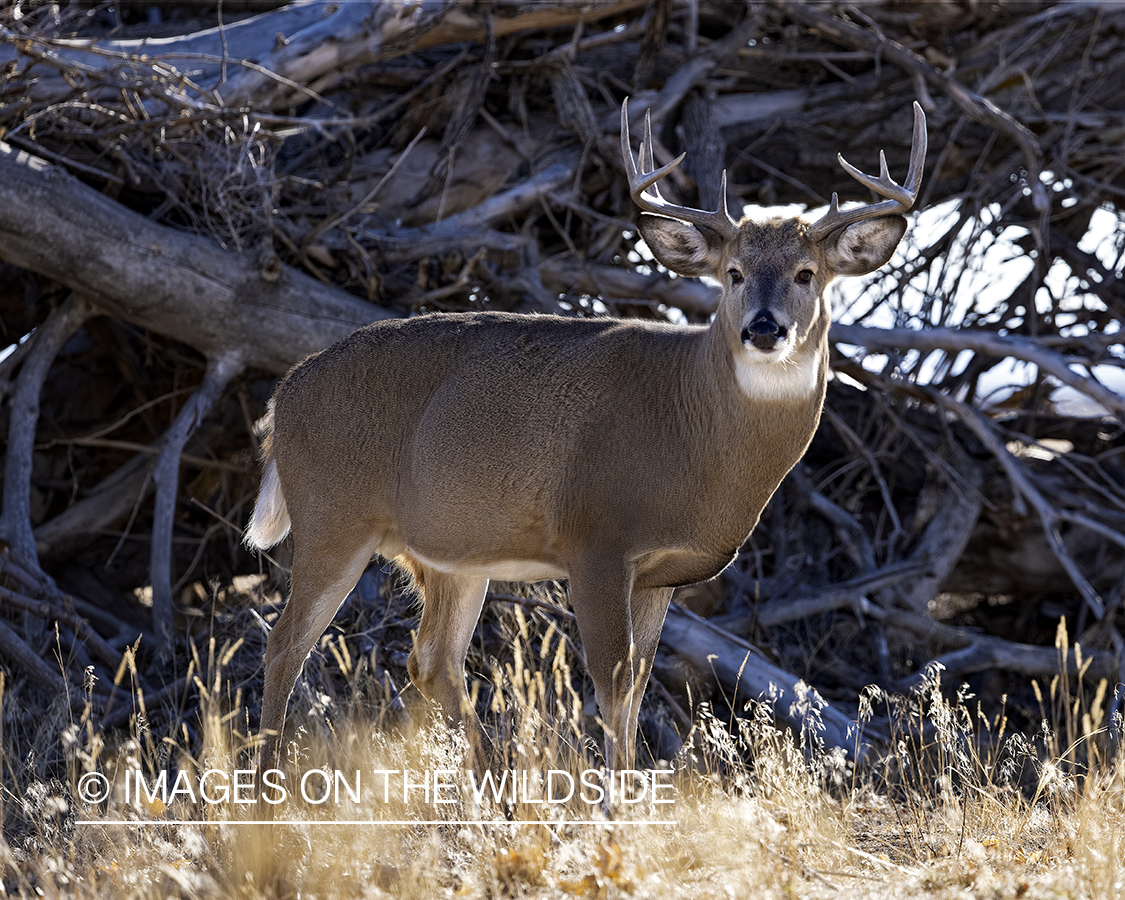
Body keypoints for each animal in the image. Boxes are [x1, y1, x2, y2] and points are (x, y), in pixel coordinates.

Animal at [244, 98, 922, 774]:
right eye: (732, 273)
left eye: (807, 273)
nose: (763, 327)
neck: (694, 431)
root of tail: (283, 397)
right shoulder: (597, 539)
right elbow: (613, 684)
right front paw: (616, 791)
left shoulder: (659, 573)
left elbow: (638, 685)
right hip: (334, 516)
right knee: (285, 644)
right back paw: (269, 785)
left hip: (449, 551)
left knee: (431, 660)